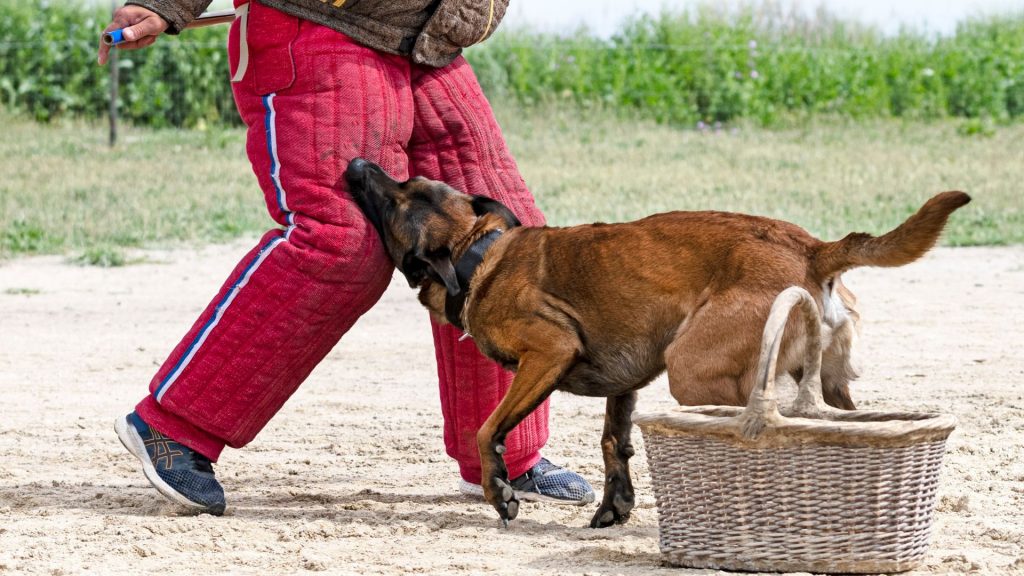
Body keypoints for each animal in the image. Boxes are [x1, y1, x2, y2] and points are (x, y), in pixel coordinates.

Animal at [342, 155, 966, 524]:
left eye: (399, 196)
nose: (357, 161)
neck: (479, 253)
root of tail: (812, 248)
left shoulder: (548, 352)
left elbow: (486, 429)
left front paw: (501, 492)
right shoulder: (625, 382)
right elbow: (613, 442)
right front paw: (615, 507)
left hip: (693, 371)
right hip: (830, 385)